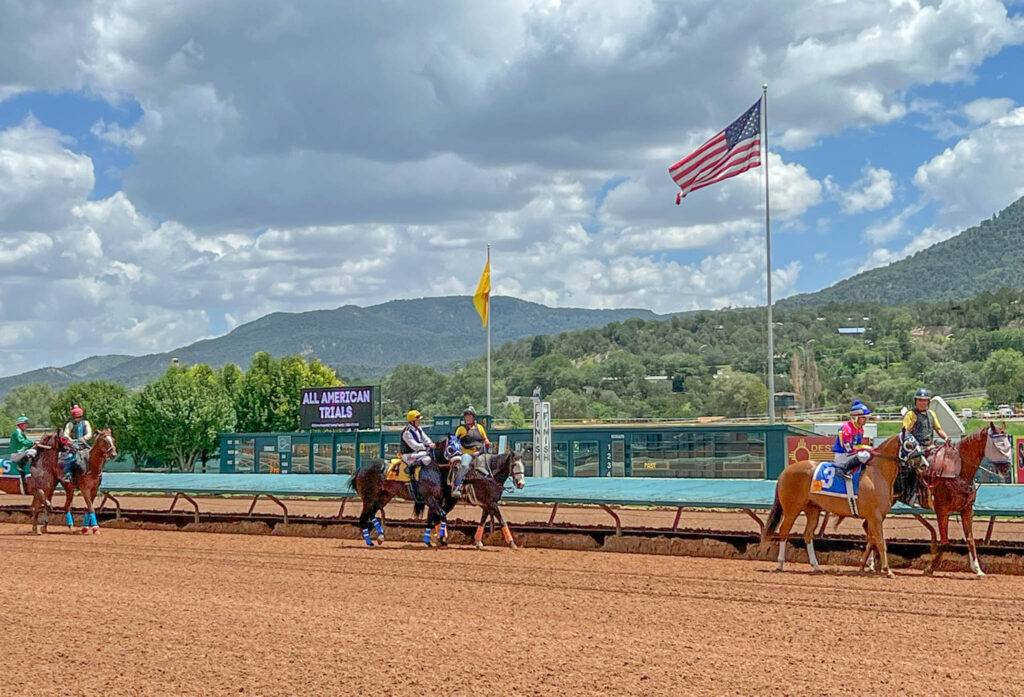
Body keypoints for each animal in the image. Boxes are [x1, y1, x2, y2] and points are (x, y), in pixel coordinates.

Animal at [761, 433, 905, 577]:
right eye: (909, 442)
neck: (876, 473)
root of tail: (784, 472)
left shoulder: (874, 517)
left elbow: (872, 541)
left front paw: (865, 566)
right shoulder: (875, 517)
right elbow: (880, 542)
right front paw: (887, 570)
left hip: (812, 510)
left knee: (807, 534)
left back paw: (816, 566)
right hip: (792, 509)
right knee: (784, 532)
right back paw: (780, 564)